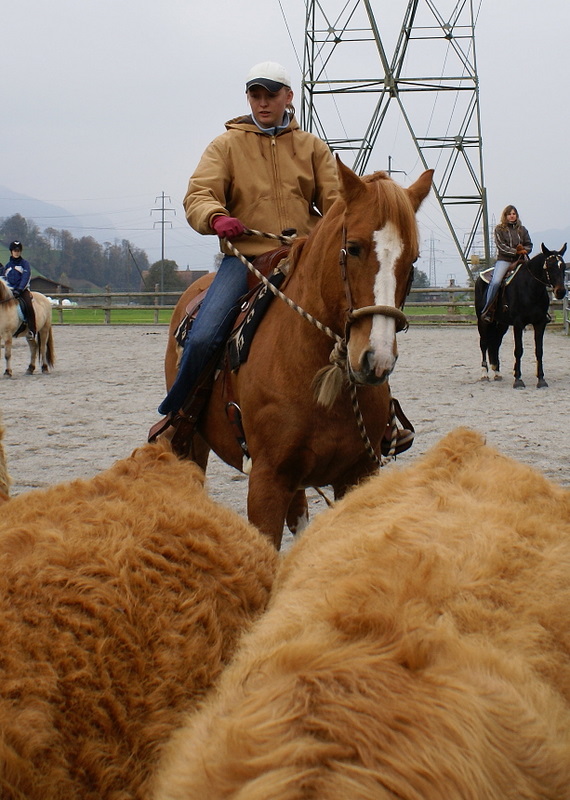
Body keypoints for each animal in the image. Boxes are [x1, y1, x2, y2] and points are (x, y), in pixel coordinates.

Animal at [162, 159, 433, 548]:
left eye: (412, 259)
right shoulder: (267, 481)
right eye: (353, 248)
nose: (376, 359)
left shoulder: (358, 473)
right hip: (192, 443)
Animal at [475, 243, 567, 388]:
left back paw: (497, 372)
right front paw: (518, 380)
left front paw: (541, 379)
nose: (561, 291)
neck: (530, 288)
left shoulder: (540, 323)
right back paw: (484, 374)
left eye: (563, 267)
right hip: (483, 321)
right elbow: (518, 350)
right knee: (483, 343)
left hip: (502, 324)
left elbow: (539, 351)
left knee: (495, 344)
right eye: (549, 266)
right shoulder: (518, 324)